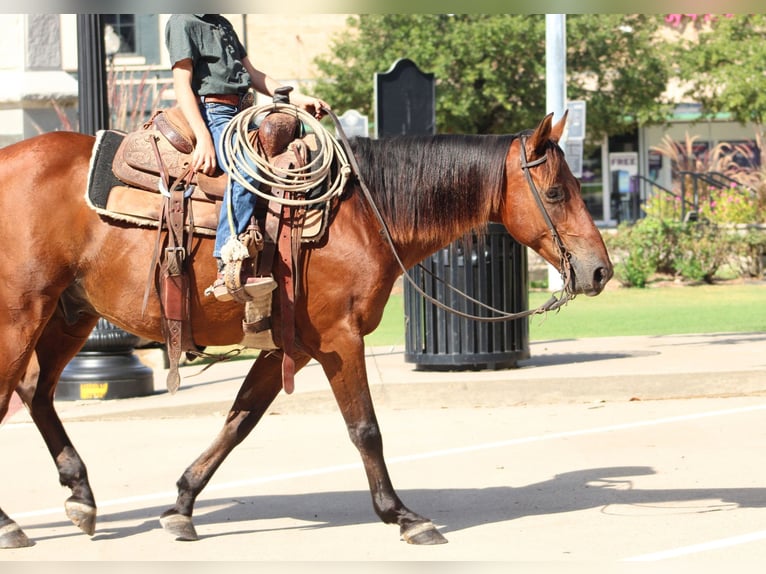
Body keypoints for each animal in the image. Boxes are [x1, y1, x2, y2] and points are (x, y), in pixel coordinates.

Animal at [0, 112, 612, 548]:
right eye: (556, 193)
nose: (600, 270)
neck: (365, 216)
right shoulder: (340, 340)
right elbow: (365, 429)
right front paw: (402, 515)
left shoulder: (282, 346)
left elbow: (238, 421)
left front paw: (181, 505)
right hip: (20, 314)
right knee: (13, 391)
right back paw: (13, 524)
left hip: (70, 314)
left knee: (36, 391)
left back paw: (80, 494)